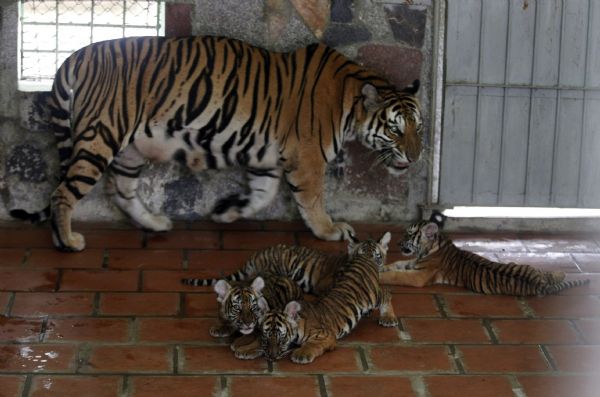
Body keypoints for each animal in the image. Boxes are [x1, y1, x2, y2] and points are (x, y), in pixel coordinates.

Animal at [9, 36, 422, 251]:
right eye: (395, 130)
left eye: (419, 126)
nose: (417, 157)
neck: (352, 102)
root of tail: (78, 55)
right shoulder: (306, 158)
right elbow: (312, 200)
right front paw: (330, 230)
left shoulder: (267, 157)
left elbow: (263, 195)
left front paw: (227, 211)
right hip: (101, 137)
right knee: (62, 192)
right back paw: (67, 241)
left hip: (129, 149)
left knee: (122, 191)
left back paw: (155, 223)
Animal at [380, 213, 592, 294]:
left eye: (409, 234)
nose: (398, 243)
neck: (432, 247)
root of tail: (538, 285)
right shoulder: (413, 263)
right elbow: (396, 265)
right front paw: (382, 267)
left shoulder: (419, 276)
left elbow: (397, 275)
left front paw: (383, 276)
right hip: (521, 265)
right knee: (545, 273)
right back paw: (560, 273)